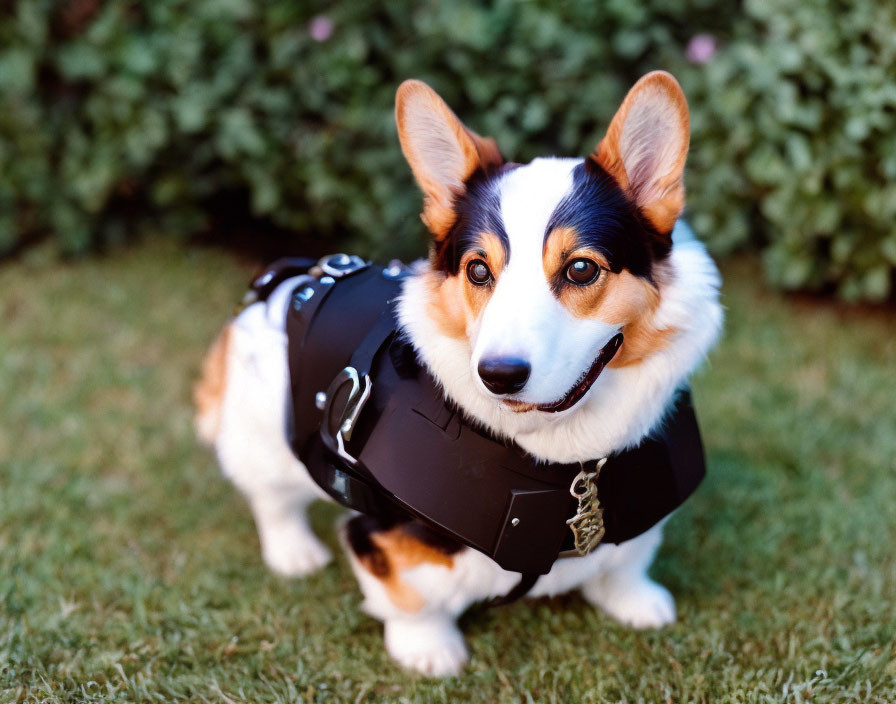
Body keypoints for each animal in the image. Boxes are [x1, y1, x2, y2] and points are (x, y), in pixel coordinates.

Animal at [194, 73, 720, 676]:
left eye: (582, 268)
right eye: (478, 270)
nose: (498, 375)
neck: (563, 457)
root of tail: (288, 284)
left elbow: (628, 560)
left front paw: (636, 601)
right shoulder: (380, 531)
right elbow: (411, 594)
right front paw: (429, 650)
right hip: (261, 432)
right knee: (271, 497)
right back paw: (294, 552)